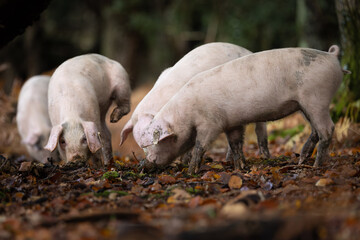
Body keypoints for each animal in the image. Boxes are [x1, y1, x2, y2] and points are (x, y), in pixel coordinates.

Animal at [139, 44, 346, 172]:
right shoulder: (232, 124)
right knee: (316, 131)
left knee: (327, 129)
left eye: (156, 143)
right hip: (304, 105)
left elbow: (200, 145)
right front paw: (242, 168)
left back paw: (315, 166)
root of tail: (332, 56)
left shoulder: (210, 123)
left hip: (316, 99)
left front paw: (191, 171)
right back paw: (302, 160)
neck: (186, 114)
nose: (143, 164)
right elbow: (236, 144)